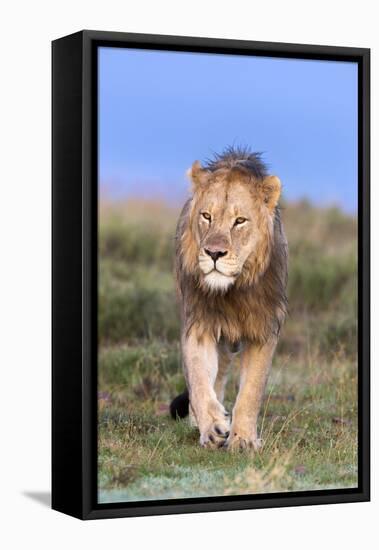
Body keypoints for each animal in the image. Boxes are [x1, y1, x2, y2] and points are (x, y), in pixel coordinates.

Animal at [170, 148, 288, 452]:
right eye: (206, 216)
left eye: (240, 221)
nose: (213, 253)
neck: (231, 291)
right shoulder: (199, 324)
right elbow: (199, 380)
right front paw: (212, 427)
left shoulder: (263, 329)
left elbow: (251, 391)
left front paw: (244, 439)